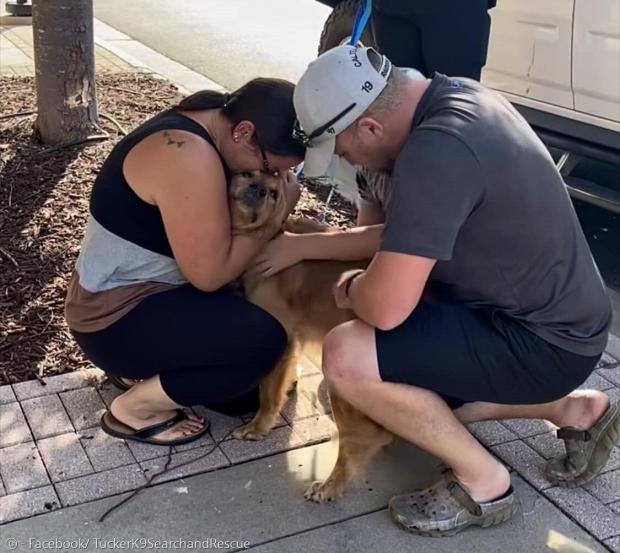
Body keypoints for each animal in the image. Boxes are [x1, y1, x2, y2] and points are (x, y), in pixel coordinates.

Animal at [226, 170, 392, 502]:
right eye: (248, 174)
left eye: (274, 193)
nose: (258, 188)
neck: (268, 237)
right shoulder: (295, 339)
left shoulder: (282, 335)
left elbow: (268, 393)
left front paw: (257, 427)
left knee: (359, 443)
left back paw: (330, 486)